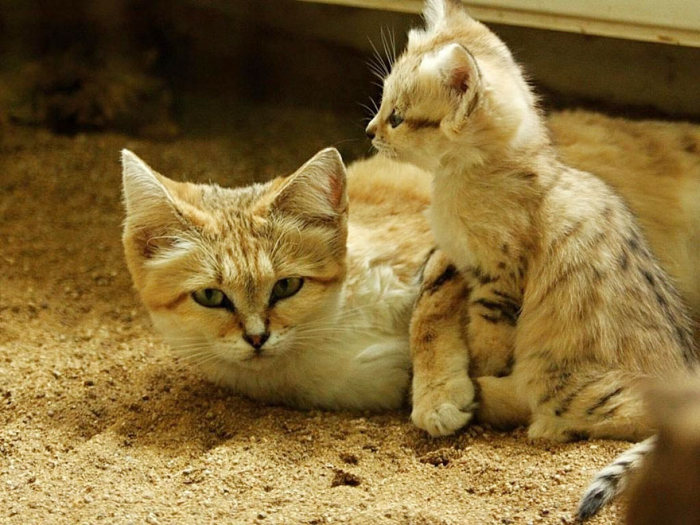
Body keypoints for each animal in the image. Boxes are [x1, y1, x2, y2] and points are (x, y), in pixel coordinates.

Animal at [364, 0, 696, 442]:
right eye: (383, 105)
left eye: (397, 117)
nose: (370, 131)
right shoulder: (461, 260)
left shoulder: (498, 275)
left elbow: (486, 336)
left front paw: (474, 369)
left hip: (563, 381)